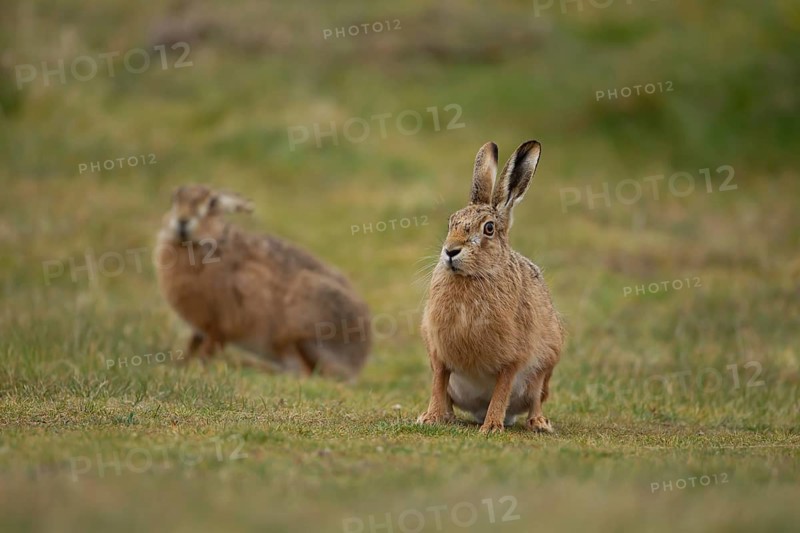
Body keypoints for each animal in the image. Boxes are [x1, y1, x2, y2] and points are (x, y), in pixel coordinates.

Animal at [155, 184, 371, 380]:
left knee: (302, 371)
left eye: (212, 203)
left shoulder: (222, 322)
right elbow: (193, 343)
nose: (182, 221)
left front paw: (198, 366)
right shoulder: (200, 327)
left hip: (300, 332)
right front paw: (180, 363)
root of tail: (357, 364)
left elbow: (210, 346)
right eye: (174, 199)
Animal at [417, 140, 564, 433]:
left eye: (488, 229)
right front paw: (429, 418)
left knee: (536, 397)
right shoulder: (437, 351)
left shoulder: (513, 357)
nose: (450, 251)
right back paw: (449, 417)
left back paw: (538, 423)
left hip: (546, 365)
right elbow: (438, 382)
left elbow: (502, 388)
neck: (471, 277)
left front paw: (492, 426)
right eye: (451, 222)